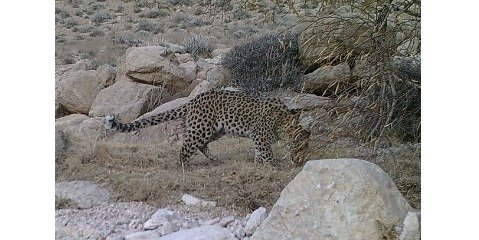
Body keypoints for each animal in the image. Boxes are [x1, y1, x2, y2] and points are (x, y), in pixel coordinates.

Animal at [105, 89, 312, 166]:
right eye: (302, 145)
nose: (302, 160)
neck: (282, 122)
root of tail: (193, 100)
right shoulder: (260, 136)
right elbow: (267, 153)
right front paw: (273, 166)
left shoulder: (257, 139)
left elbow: (259, 152)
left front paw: (258, 164)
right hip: (201, 128)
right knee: (186, 147)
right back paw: (184, 166)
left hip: (216, 130)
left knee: (201, 145)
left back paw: (216, 159)